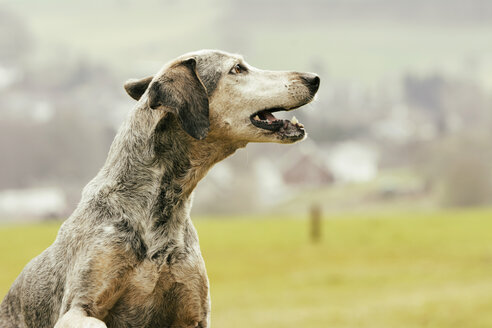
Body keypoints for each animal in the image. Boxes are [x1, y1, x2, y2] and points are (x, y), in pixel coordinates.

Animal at [0, 49, 320, 328]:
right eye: (237, 69)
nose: (314, 78)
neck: (161, 209)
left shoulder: (193, 313)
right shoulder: (78, 305)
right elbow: (92, 319)